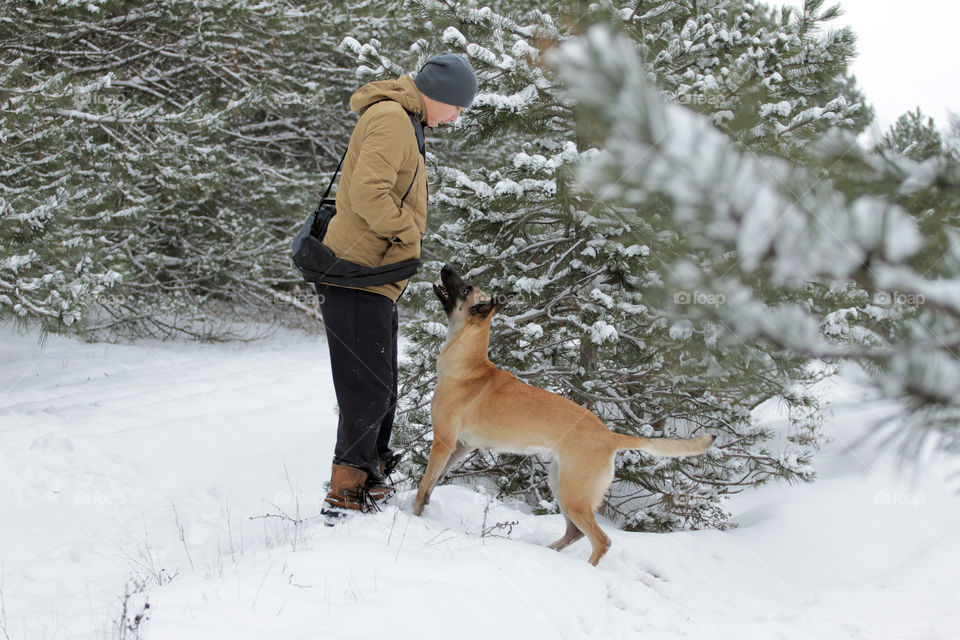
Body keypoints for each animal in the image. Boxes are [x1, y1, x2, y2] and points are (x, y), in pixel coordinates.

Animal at [412, 264, 712, 564]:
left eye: (466, 288)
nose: (446, 267)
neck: (467, 364)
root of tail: (609, 436)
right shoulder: (459, 447)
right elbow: (433, 484)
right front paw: (423, 510)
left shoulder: (443, 443)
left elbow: (423, 484)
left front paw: (413, 516)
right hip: (560, 485)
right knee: (574, 532)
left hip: (573, 495)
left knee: (600, 540)